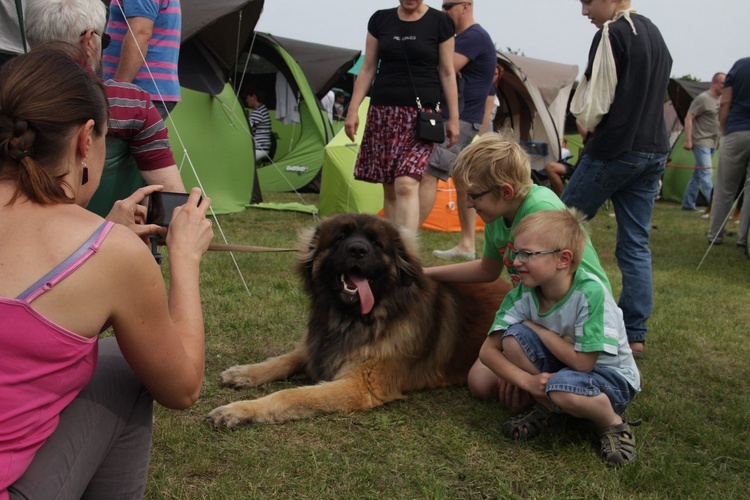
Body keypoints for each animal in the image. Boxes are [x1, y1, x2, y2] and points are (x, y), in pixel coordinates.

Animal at [209, 213, 508, 428]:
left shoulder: (361, 385)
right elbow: (282, 360)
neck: (353, 318)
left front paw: (239, 410)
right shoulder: (319, 345)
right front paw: (243, 373)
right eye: (341, 236)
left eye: (376, 243)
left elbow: (291, 394)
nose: (357, 250)